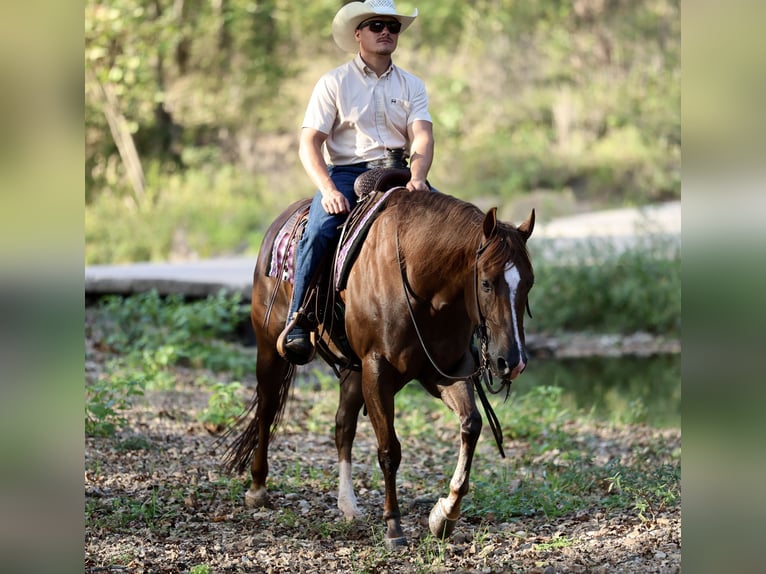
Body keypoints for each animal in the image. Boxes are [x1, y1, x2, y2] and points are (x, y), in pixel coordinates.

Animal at [224, 182, 535, 548]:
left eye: (529, 283)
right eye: (486, 282)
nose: (512, 361)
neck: (422, 284)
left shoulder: (445, 371)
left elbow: (471, 425)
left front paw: (444, 515)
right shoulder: (378, 371)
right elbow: (389, 449)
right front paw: (394, 526)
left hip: (354, 372)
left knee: (342, 425)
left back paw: (348, 505)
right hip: (271, 349)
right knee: (268, 409)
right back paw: (258, 488)